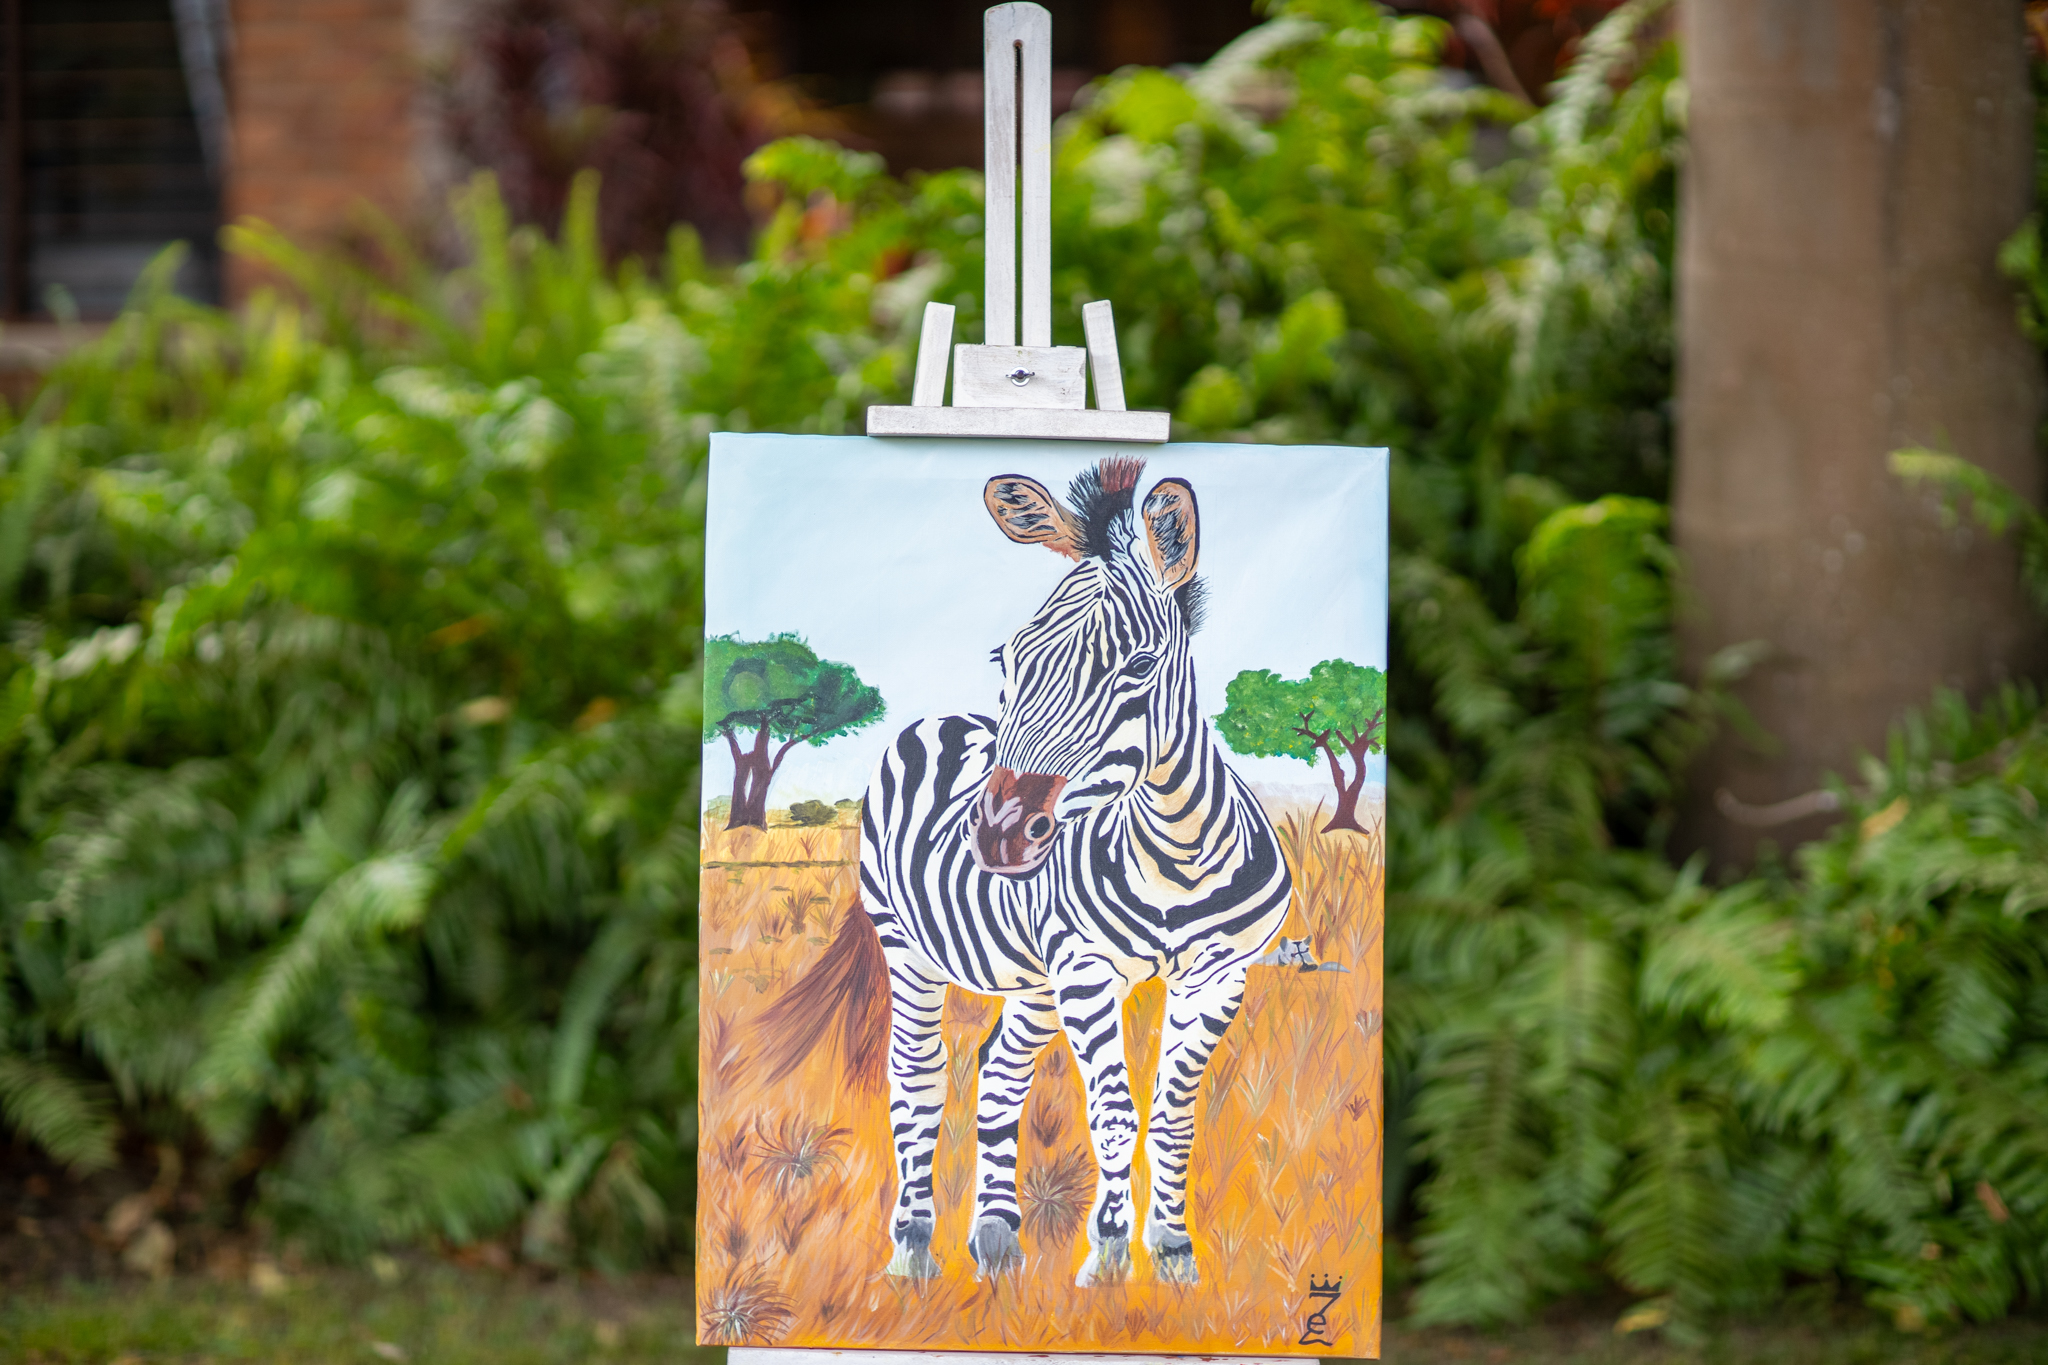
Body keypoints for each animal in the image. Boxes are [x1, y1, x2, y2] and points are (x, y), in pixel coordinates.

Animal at [756, 455, 1293, 1288]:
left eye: (1140, 665)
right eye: (1006, 660)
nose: (1002, 835)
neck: (1179, 853)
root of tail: (939, 717)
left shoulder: (1219, 976)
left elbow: (1173, 1116)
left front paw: (1173, 1252)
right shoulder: (1087, 968)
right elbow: (1114, 1115)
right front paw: (1108, 1258)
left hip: (1034, 978)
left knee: (999, 1072)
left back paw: (999, 1238)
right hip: (909, 944)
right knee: (918, 1074)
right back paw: (913, 1245)